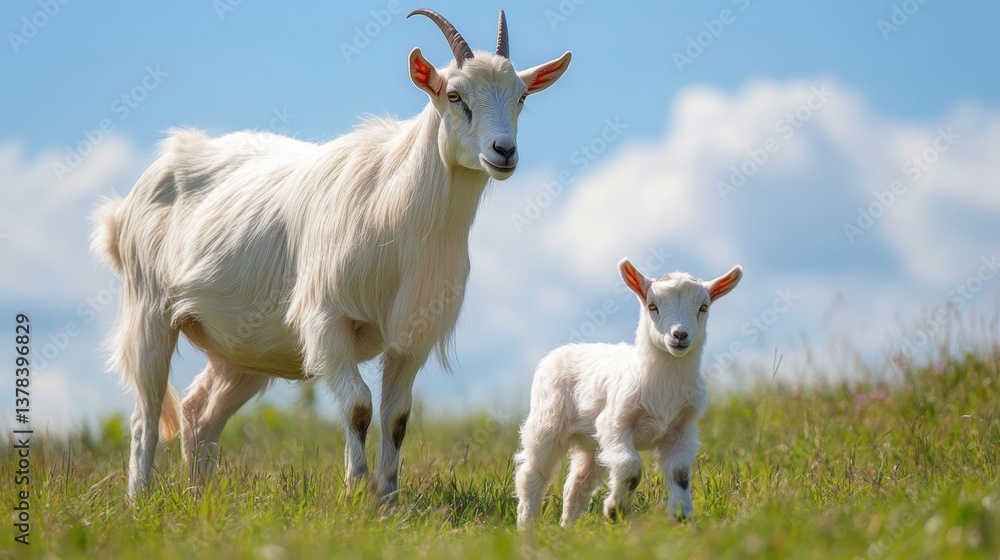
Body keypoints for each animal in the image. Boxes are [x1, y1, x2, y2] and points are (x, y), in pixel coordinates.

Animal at [90, 9, 571, 499]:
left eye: (522, 97)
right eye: (454, 95)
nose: (504, 151)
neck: (398, 214)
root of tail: (125, 208)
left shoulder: (410, 338)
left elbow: (396, 418)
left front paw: (388, 498)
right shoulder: (328, 320)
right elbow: (358, 407)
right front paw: (356, 492)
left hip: (242, 348)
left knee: (199, 414)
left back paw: (198, 498)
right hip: (149, 311)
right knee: (145, 417)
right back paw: (139, 499)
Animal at [514, 259, 742, 528]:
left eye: (703, 307)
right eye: (652, 306)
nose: (679, 335)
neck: (663, 387)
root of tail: (562, 351)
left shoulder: (682, 429)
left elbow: (679, 474)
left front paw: (680, 515)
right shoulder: (615, 423)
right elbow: (631, 467)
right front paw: (616, 511)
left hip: (592, 442)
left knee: (577, 483)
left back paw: (568, 528)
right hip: (547, 422)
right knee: (533, 474)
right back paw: (527, 525)